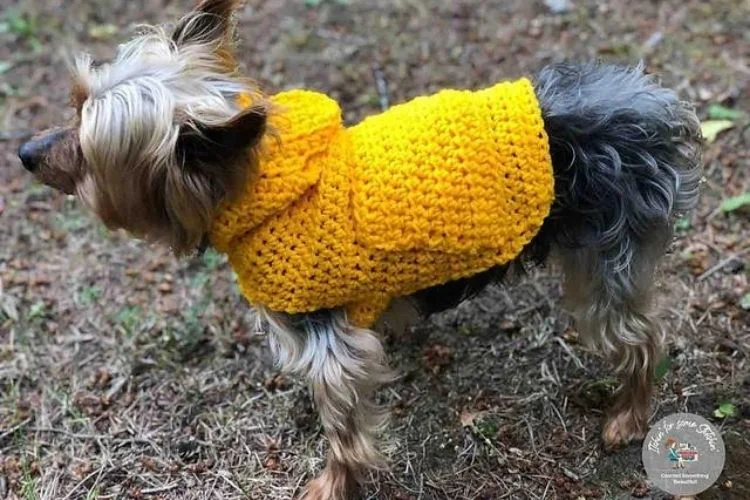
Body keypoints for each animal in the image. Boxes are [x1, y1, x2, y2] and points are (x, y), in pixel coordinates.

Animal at [19, 1, 704, 498]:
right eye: (74, 102)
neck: (257, 188)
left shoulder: (328, 348)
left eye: (89, 149)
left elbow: (344, 428)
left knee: (643, 337)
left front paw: (332, 483)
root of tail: (650, 111)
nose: (25, 153)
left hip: (605, 260)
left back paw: (627, 419)